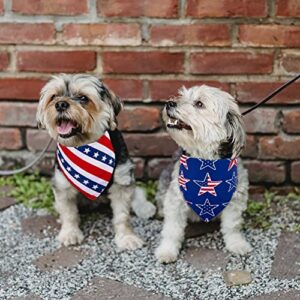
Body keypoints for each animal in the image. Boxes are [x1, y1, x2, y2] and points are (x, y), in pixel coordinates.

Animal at [36, 74, 156, 250]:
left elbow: (122, 216)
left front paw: (127, 237)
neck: (84, 145)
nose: (60, 104)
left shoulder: (122, 180)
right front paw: (70, 233)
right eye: (54, 96)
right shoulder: (62, 185)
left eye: (83, 98)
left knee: (138, 193)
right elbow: (69, 213)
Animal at [156, 84, 252, 262]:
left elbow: (232, 226)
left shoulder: (235, 200)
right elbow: (172, 230)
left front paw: (237, 244)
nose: (169, 103)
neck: (206, 163)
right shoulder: (175, 201)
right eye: (182, 95)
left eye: (199, 104)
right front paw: (167, 250)